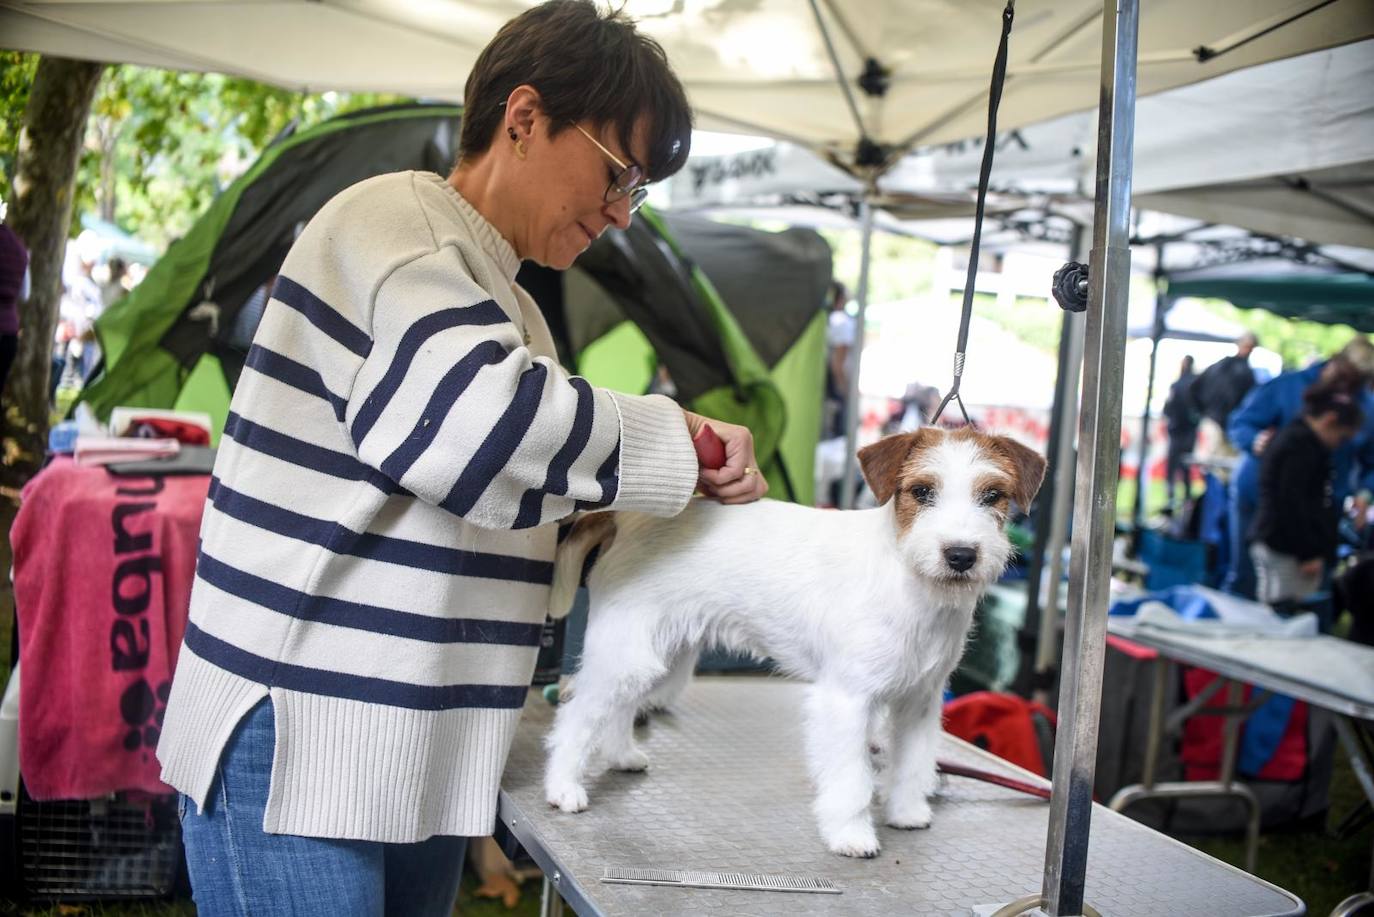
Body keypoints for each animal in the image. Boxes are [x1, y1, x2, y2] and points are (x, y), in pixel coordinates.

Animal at [541, 426, 1044, 857]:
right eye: (922, 492)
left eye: (992, 495)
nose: (961, 555)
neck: (910, 581)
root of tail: (627, 519)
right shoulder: (846, 700)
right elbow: (851, 777)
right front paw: (851, 834)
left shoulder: (919, 703)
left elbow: (912, 765)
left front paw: (905, 813)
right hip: (625, 653)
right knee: (577, 717)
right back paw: (563, 787)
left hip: (658, 657)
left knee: (620, 707)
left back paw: (622, 755)